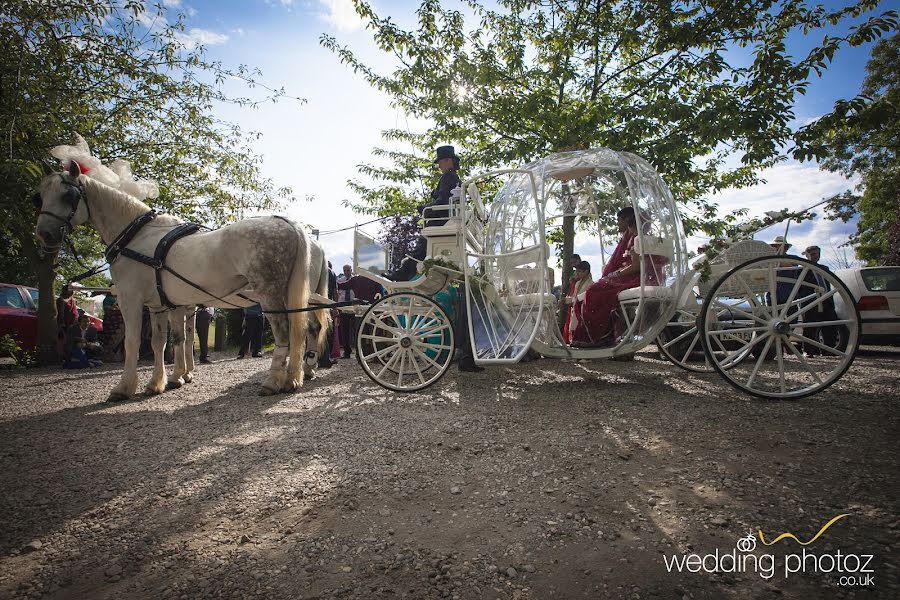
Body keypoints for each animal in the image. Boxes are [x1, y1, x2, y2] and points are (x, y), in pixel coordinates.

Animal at [36, 162, 330, 400]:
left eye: (68, 195)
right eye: (39, 197)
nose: (44, 234)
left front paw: (125, 387)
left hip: (270, 293)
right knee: (304, 330)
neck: (136, 237)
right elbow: (166, 341)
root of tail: (291, 224)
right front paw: (161, 381)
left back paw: (274, 381)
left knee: (286, 334)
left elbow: (134, 342)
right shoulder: (162, 305)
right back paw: (296, 376)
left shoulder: (131, 300)